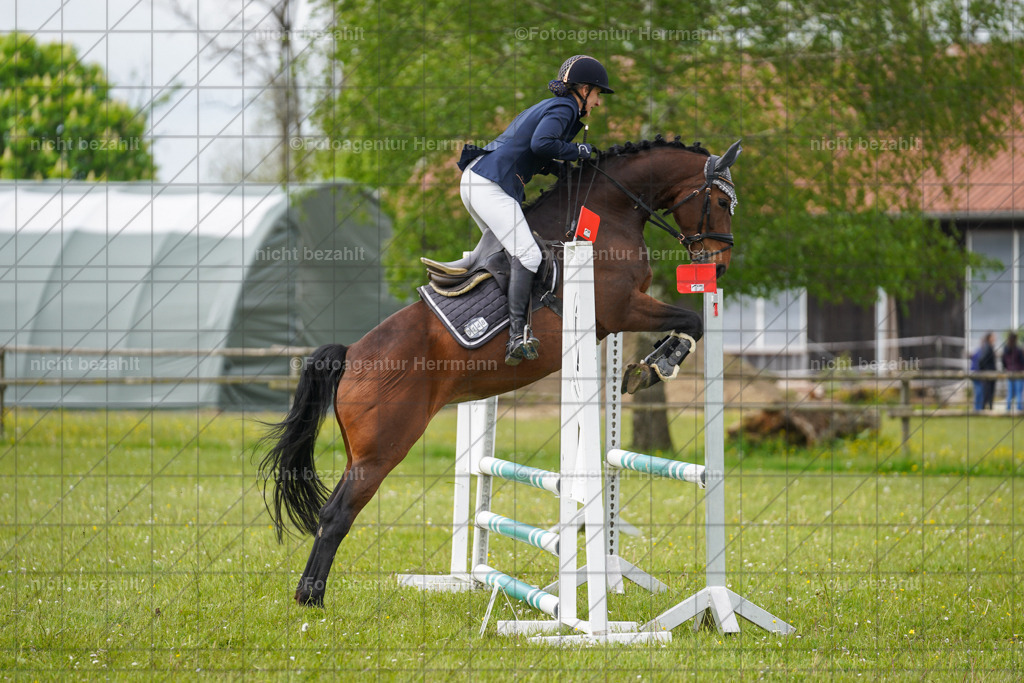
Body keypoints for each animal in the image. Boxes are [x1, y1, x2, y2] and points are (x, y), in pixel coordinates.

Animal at [258, 135, 741, 606]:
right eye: (720, 201)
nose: (718, 265)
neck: (609, 212)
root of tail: (351, 354)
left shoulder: (620, 316)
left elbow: (684, 324)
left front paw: (646, 367)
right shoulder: (622, 309)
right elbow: (691, 321)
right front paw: (657, 366)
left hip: (360, 452)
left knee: (330, 512)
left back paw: (308, 595)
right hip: (382, 450)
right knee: (339, 514)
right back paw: (313, 600)